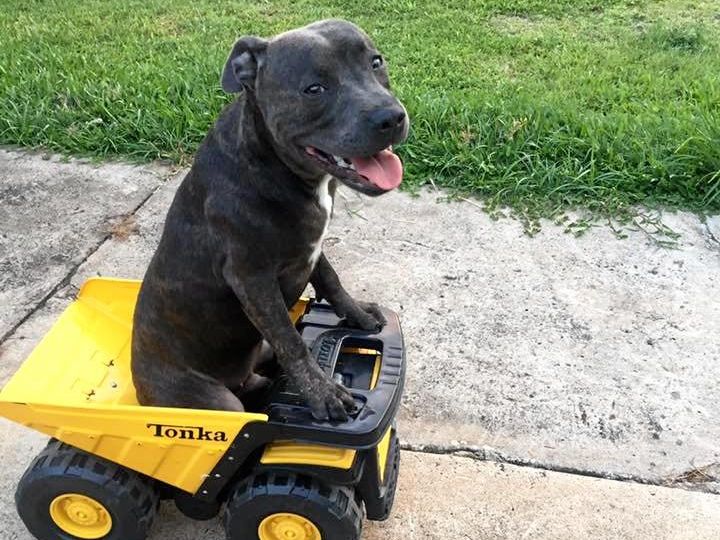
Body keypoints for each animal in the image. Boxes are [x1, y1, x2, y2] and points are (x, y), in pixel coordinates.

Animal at [131, 19, 408, 422]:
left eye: (376, 62)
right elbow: (290, 338)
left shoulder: (311, 247)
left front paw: (357, 314)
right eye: (314, 89)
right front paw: (322, 393)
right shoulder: (253, 279)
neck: (273, 162)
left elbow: (330, 279)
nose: (391, 117)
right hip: (215, 400)